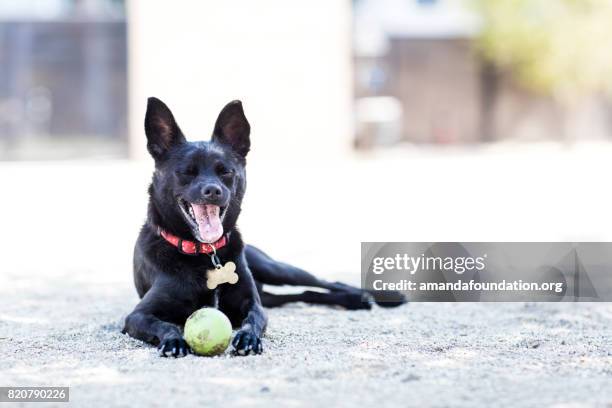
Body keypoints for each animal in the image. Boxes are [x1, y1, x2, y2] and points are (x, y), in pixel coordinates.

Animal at [122, 98, 404, 356]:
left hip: (275, 269)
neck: (204, 254)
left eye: (225, 171)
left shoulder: (252, 304)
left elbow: (253, 319)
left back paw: (372, 296)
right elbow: (164, 325)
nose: (213, 191)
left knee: (324, 281)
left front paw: (247, 338)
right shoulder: (136, 316)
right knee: (303, 293)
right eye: (187, 172)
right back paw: (353, 300)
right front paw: (174, 341)